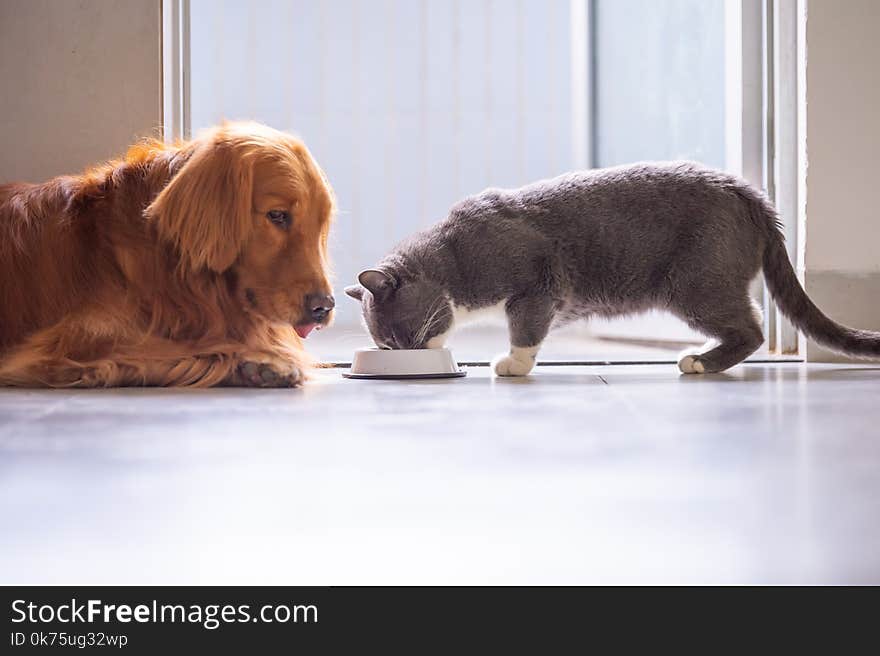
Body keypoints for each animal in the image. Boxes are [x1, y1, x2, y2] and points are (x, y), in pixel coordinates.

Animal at [344, 162, 880, 376]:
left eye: (394, 336)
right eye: (384, 346)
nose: (401, 353)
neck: (453, 256)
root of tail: (753, 197)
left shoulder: (536, 286)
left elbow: (526, 328)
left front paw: (513, 365)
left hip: (696, 283)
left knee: (752, 327)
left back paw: (699, 362)